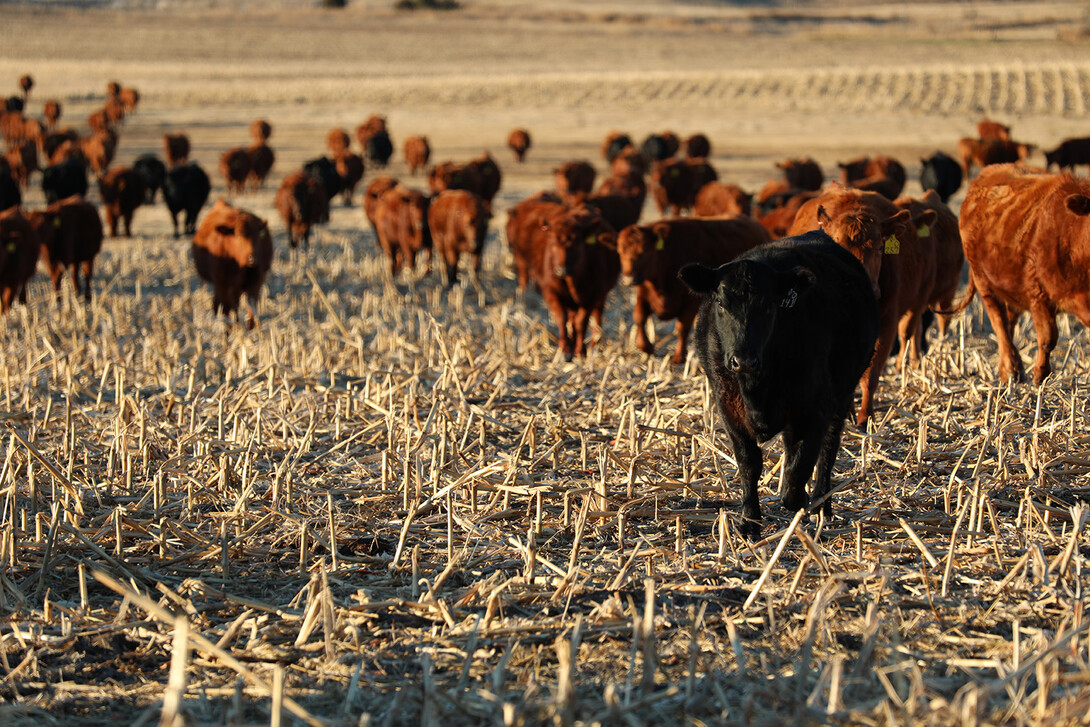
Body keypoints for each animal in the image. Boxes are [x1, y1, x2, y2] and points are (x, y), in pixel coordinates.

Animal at [190, 199, 271, 329]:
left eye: (258, 236)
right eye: (237, 235)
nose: (252, 258)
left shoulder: (256, 282)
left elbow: (251, 309)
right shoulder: (222, 284)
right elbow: (226, 308)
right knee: (222, 305)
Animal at [619, 214, 771, 364]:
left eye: (645, 250)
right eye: (620, 251)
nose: (628, 279)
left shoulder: (691, 301)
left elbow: (683, 327)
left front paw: (679, 357)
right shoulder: (643, 293)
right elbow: (639, 317)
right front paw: (647, 347)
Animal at [680, 229, 876, 538]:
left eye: (769, 305)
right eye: (721, 303)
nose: (743, 360)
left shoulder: (818, 406)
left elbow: (802, 464)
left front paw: (798, 500)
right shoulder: (728, 406)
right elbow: (749, 462)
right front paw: (749, 521)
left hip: (844, 391)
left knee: (828, 449)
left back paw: (822, 505)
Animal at [950, 162, 1085, 383]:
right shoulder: (1039, 296)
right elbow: (1048, 339)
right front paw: (1040, 375)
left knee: (1010, 323)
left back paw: (1010, 367)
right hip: (984, 283)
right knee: (1000, 323)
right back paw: (1011, 370)